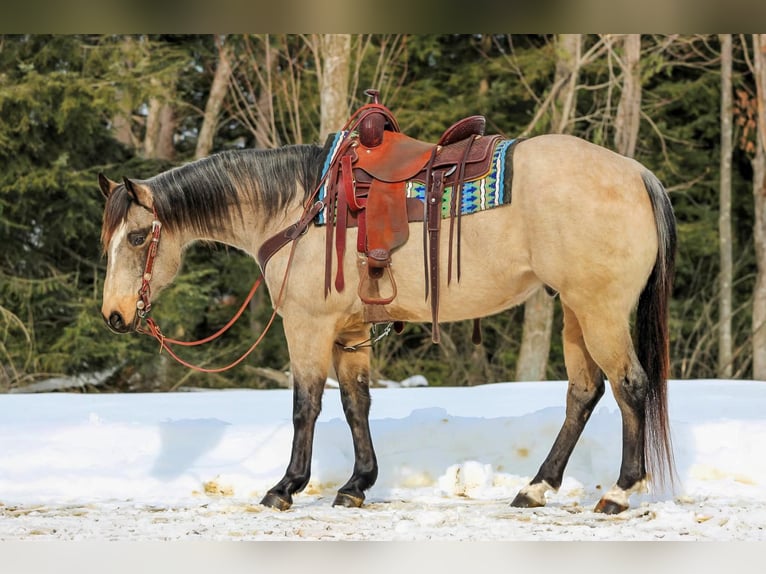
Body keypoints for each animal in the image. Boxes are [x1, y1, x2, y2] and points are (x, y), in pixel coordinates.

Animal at [98, 129, 676, 515]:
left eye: (136, 238)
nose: (115, 315)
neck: (297, 208)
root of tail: (636, 173)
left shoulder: (308, 325)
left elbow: (306, 406)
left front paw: (286, 487)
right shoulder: (350, 333)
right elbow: (357, 405)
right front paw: (356, 484)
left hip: (600, 310)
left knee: (630, 386)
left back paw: (619, 491)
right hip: (576, 312)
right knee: (584, 393)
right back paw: (536, 487)